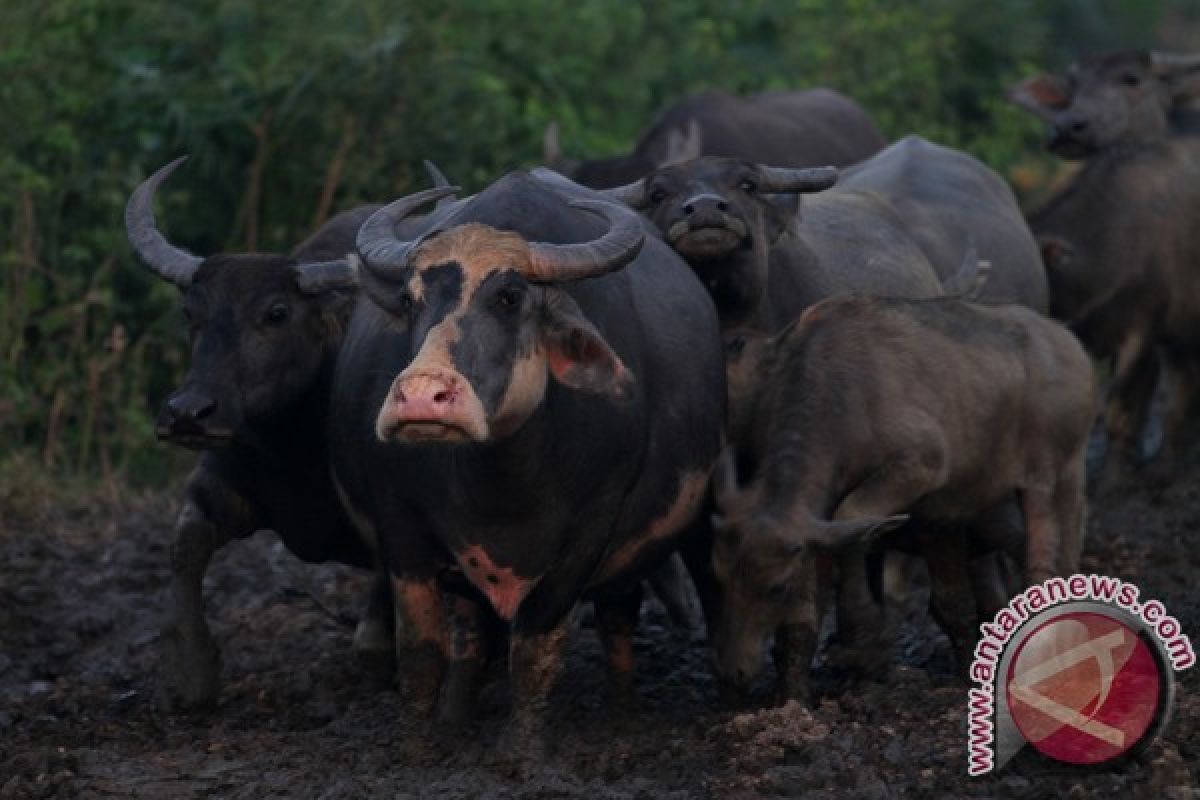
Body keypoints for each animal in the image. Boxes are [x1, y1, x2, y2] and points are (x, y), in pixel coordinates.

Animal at [125, 155, 393, 705]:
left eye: (276, 313)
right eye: (191, 313)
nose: (187, 413)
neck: (297, 449)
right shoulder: (225, 476)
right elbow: (185, 542)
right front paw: (192, 668)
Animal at [324, 172, 724, 753]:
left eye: (510, 297)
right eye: (411, 298)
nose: (422, 398)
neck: (501, 475)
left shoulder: (591, 531)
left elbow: (534, 650)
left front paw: (520, 753)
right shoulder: (401, 525)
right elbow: (422, 653)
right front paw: (416, 750)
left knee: (616, 619)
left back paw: (621, 716)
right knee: (471, 629)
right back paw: (456, 717)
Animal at [710, 296, 1099, 700]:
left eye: (776, 588)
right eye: (717, 576)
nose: (732, 670)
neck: (840, 393)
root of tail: (1070, 344)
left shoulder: (921, 465)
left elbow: (852, 516)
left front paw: (861, 637)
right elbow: (806, 612)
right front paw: (793, 695)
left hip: (1053, 476)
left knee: (1048, 560)